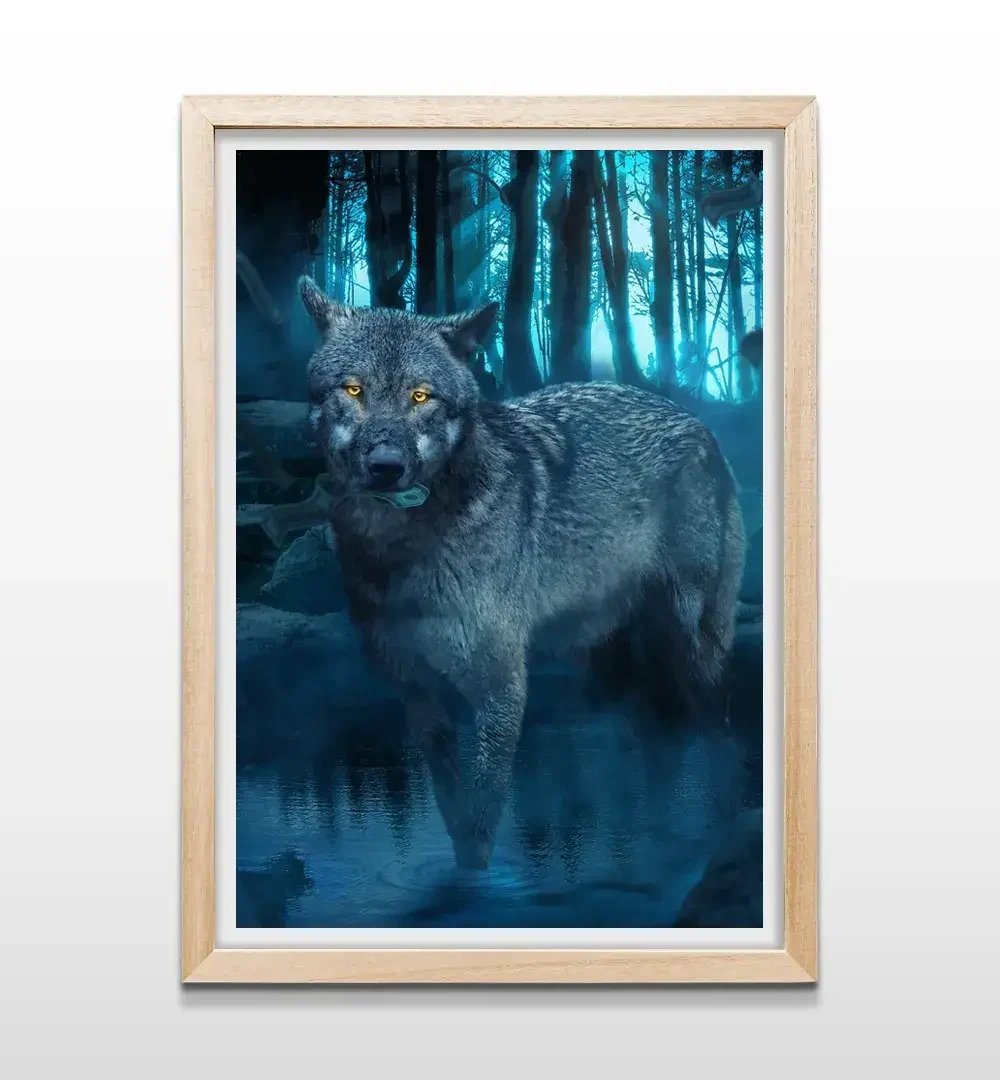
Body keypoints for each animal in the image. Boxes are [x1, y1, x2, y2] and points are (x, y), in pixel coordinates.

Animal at [299, 277, 745, 869]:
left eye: (421, 396)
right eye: (353, 390)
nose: (387, 467)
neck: (404, 549)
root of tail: (700, 426)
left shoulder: (501, 686)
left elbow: (483, 814)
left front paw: (477, 882)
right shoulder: (416, 693)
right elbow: (452, 808)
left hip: (691, 641)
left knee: (716, 729)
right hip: (611, 662)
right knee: (657, 735)